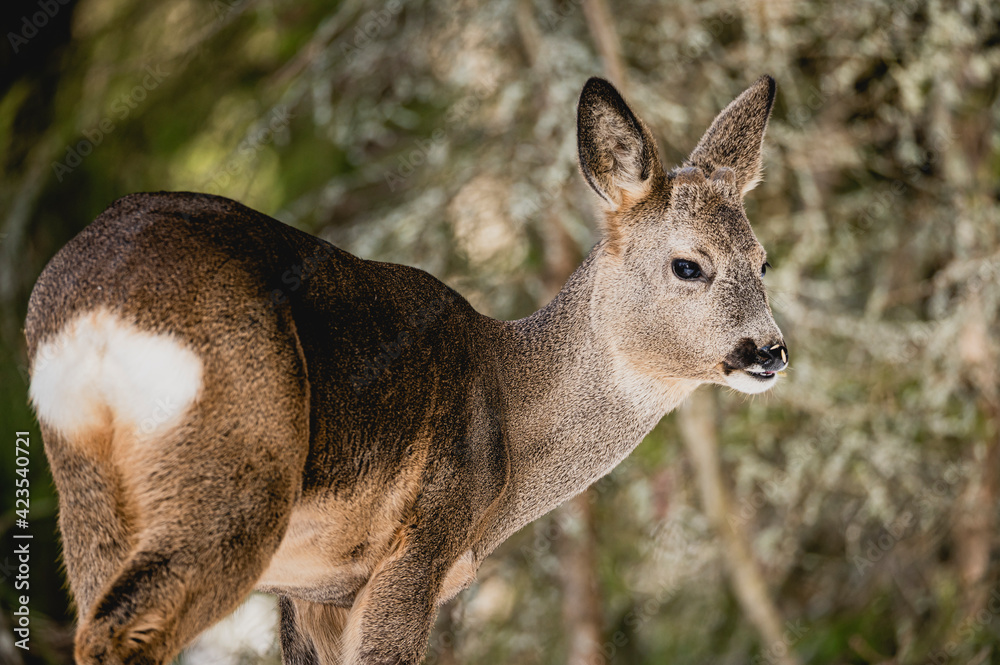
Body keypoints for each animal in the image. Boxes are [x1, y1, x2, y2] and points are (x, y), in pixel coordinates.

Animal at [25, 74, 788, 664]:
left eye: (763, 261)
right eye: (688, 265)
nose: (770, 351)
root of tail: (90, 303)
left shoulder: (312, 591)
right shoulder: (419, 536)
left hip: (90, 488)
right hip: (236, 461)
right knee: (124, 630)